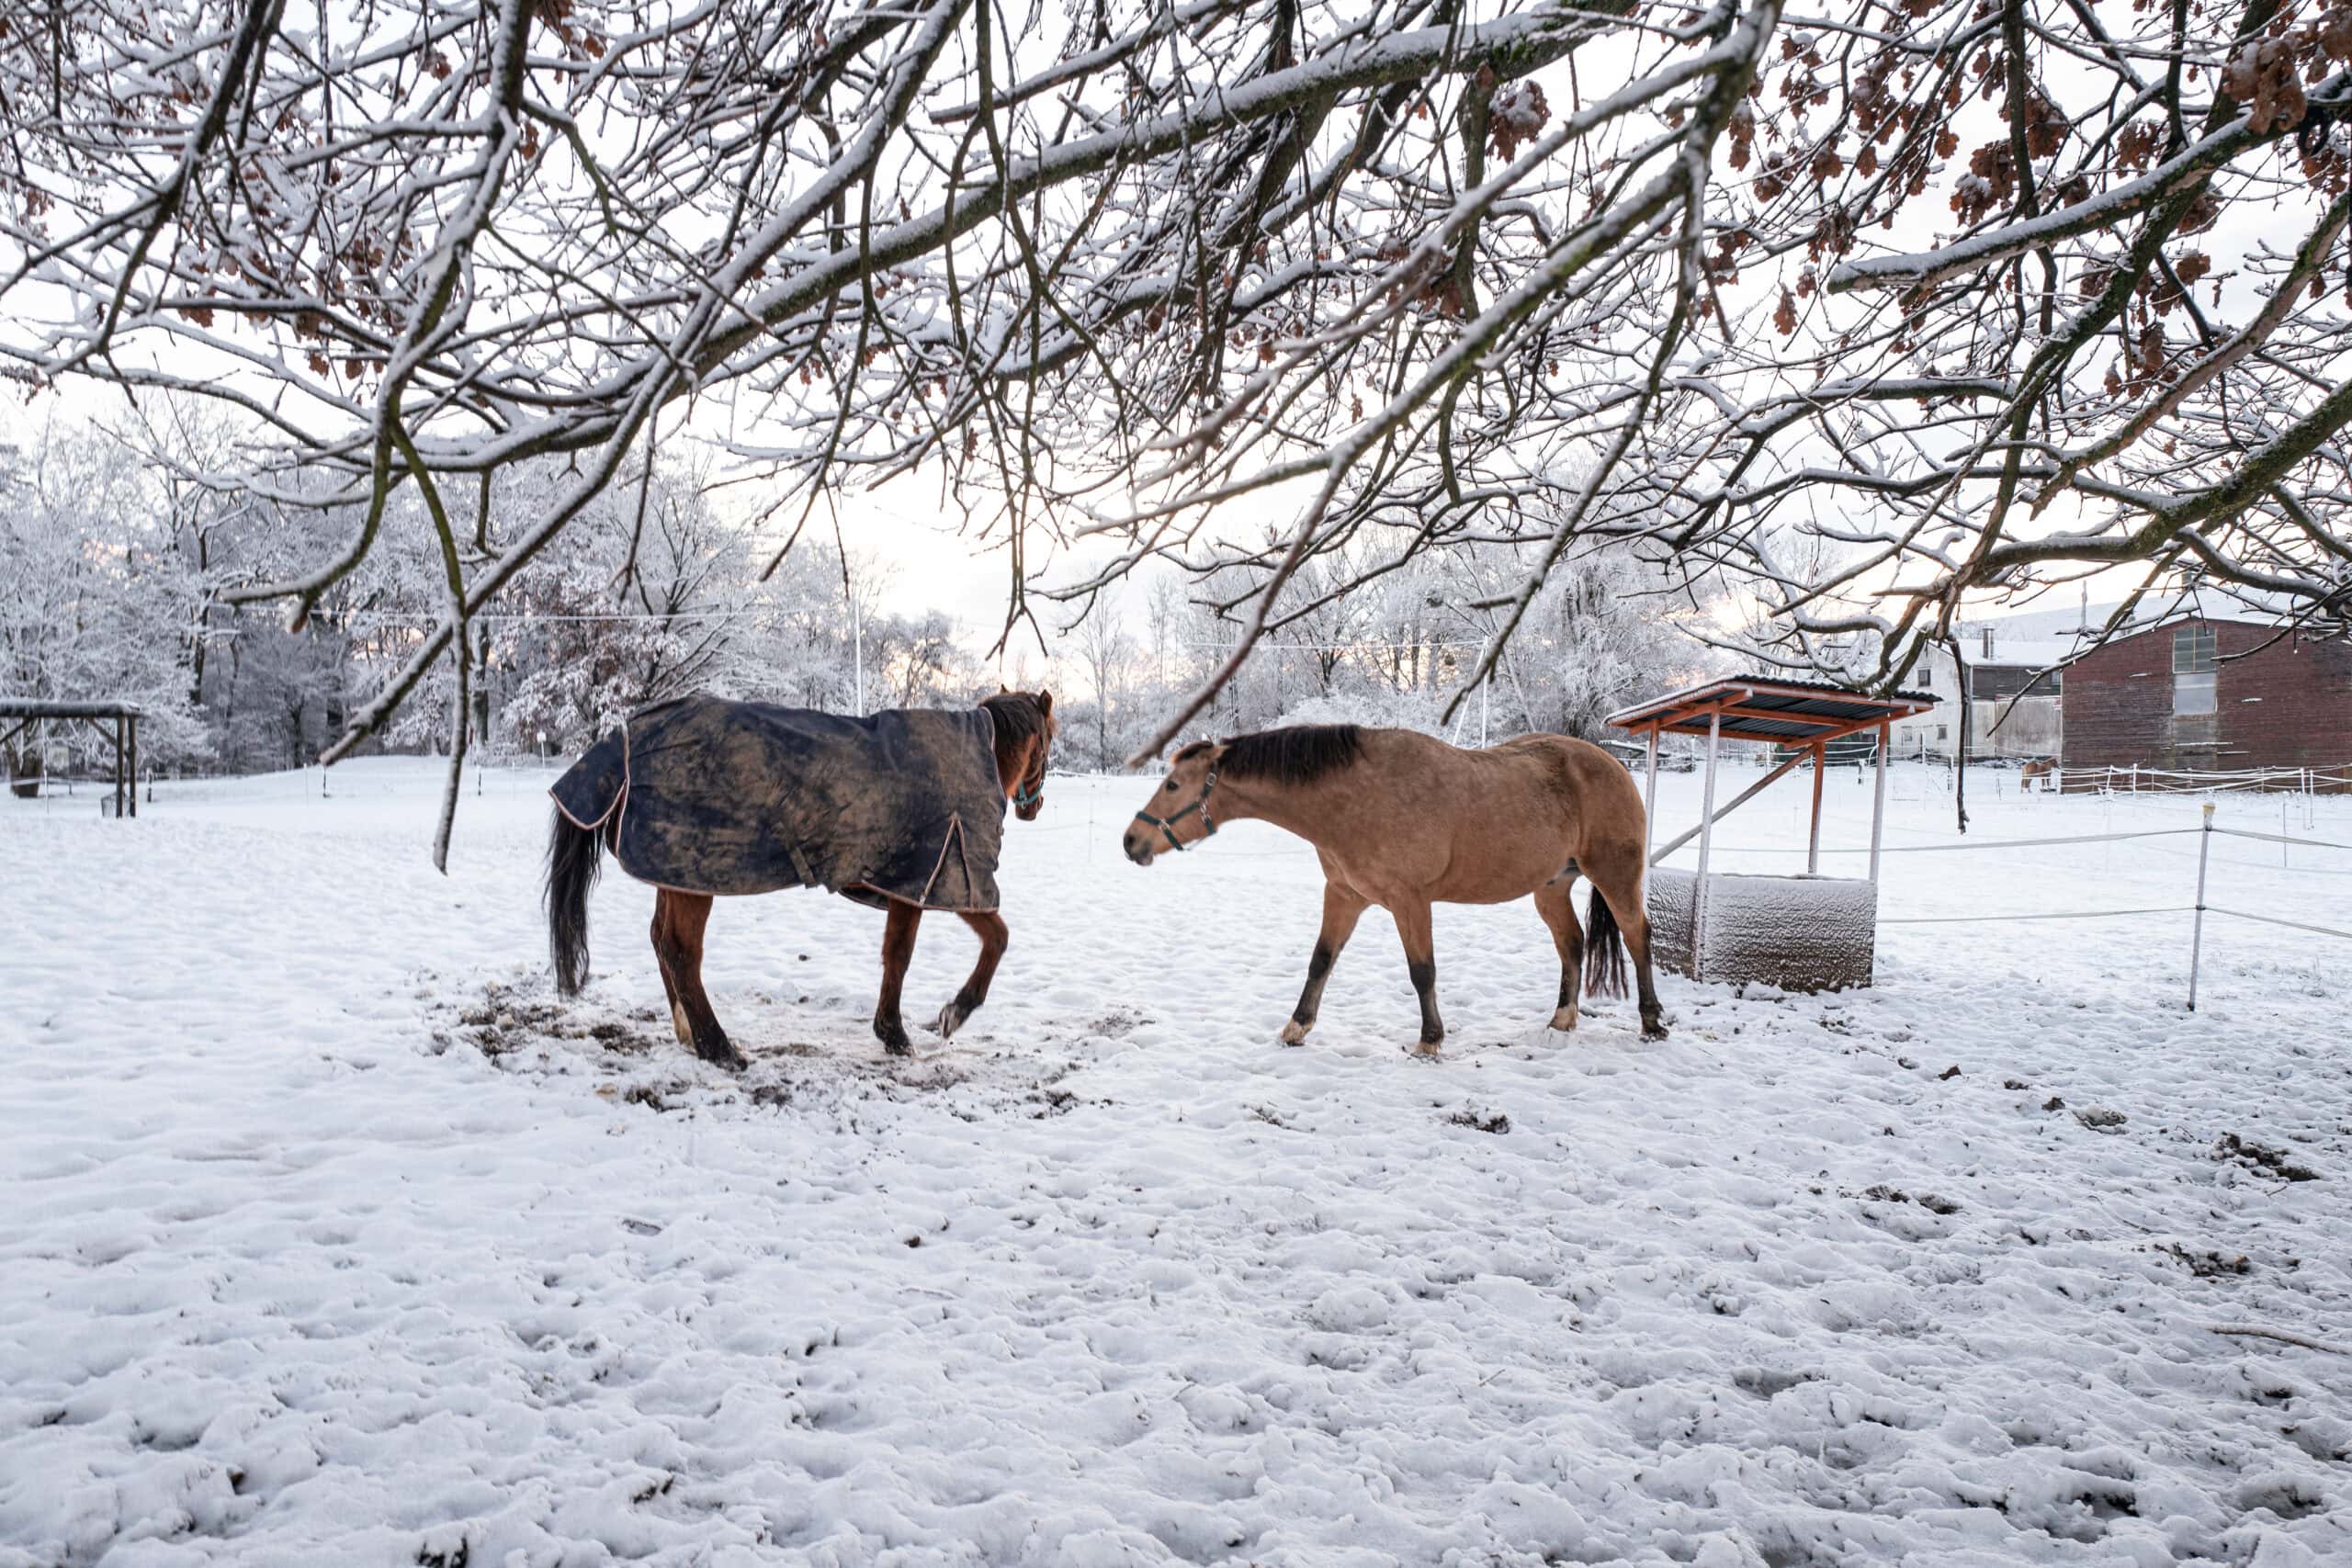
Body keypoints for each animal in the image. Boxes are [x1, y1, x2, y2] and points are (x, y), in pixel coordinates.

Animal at [540, 691, 1058, 1072]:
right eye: (1050, 739)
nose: (1034, 807)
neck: (977, 756)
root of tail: (626, 742)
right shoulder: (945, 879)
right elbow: (988, 941)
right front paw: (948, 1015)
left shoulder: (909, 885)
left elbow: (897, 955)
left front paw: (895, 1030)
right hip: (692, 873)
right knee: (680, 951)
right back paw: (718, 1047)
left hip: (675, 874)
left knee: (659, 941)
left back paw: (688, 1033)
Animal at [1114, 728, 1656, 1053]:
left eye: (1172, 785)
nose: (1130, 841)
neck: (1357, 796)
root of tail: (1613, 765)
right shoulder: (1344, 895)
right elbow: (1321, 961)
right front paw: (1297, 1027)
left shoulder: (1410, 901)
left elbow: (1422, 972)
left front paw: (1430, 1040)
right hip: (1551, 887)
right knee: (1572, 943)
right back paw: (1562, 1019)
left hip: (1616, 875)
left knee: (1637, 938)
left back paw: (1652, 1022)